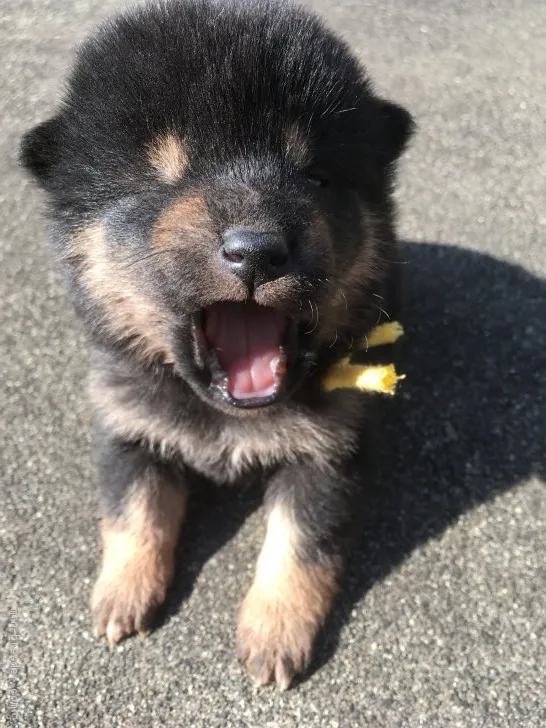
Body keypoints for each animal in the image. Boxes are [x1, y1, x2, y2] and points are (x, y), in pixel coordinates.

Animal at [21, 0, 412, 688]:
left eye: (316, 178)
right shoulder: (126, 420)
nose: (256, 250)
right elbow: (133, 513)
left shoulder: (332, 448)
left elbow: (300, 543)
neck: (223, 415)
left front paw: (275, 632)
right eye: (157, 182)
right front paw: (121, 593)